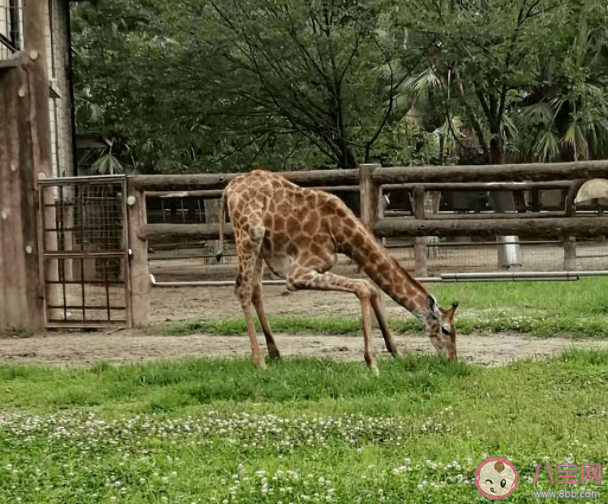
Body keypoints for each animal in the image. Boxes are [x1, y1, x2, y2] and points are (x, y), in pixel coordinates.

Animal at [216, 169, 458, 370]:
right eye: (445, 329)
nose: (452, 359)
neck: (341, 232)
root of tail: (228, 189)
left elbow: (370, 287)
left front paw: (396, 352)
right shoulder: (297, 274)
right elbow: (362, 287)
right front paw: (372, 363)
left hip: (258, 245)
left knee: (255, 290)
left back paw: (275, 354)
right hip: (251, 233)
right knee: (242, 289)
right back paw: (259, 362)